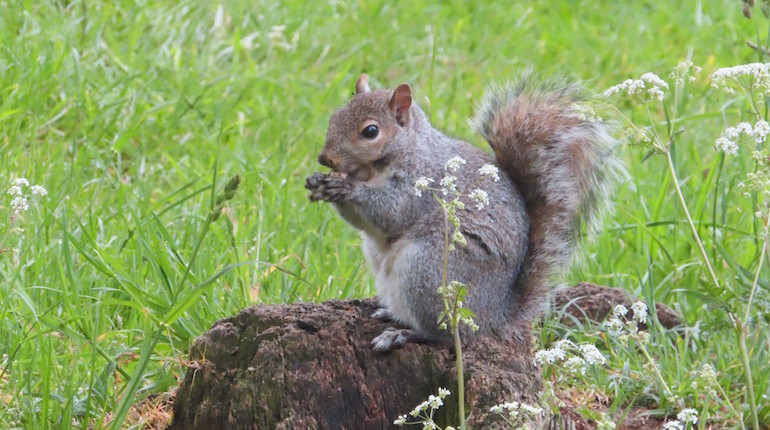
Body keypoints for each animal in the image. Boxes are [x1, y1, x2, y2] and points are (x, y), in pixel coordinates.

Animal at [304, 71, 616, 352]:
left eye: (371, 131)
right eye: (334, 117)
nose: (325, 158)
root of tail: (494, 316)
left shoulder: (421, 184)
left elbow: (391, 211)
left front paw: (346, 188)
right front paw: (318, 182)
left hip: (428, 272)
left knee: (445, 333)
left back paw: (403, 334)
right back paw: (390, 313)